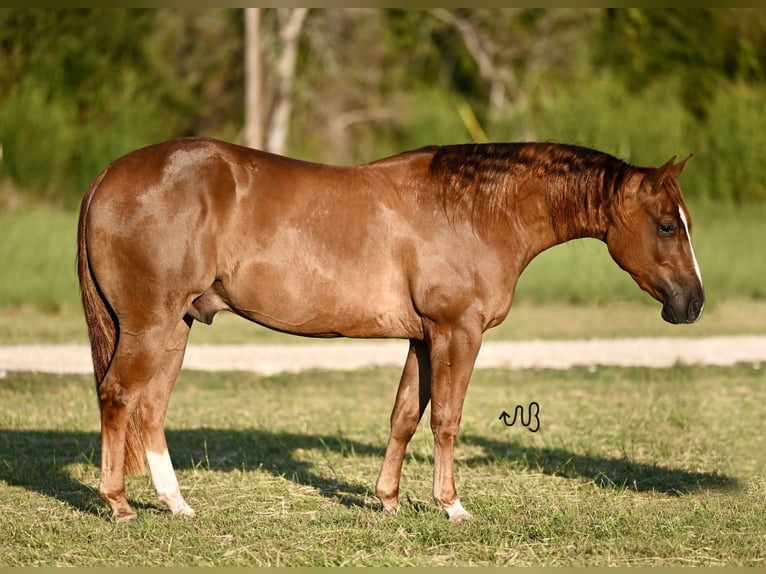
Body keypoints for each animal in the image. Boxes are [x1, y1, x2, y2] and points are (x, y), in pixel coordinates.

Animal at [78, 138, 708, 520]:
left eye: (683, 222)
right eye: (666, 225)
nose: (694, 303)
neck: (474, 210)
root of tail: (108, 174)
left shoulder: (423, 338)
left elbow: (405, 416)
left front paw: (388, 500)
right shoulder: (458, 332)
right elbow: (447, 419)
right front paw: (452, 506)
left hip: (177, 326)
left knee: (151, 408)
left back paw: (176, 504)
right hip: (151, 325)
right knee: (118, 396)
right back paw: (119, 503)